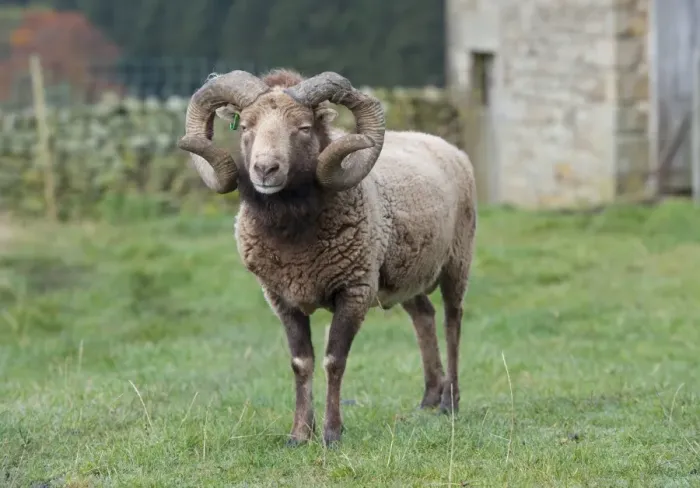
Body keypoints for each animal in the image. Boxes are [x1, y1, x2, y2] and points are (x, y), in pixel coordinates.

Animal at [177, 68, 477, 446]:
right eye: (245, 126)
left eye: (304, 128)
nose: (265, 169)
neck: (294, 235)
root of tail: (444, 144)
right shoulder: (280, 297)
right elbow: (300, 362)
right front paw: (299, 433)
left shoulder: (355, 290)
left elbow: (334, 360)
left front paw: (332, 433)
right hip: (403, 275)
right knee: (424, 316)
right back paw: (429, 399)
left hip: (457, 261)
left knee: (453, 323)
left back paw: (450, 402)